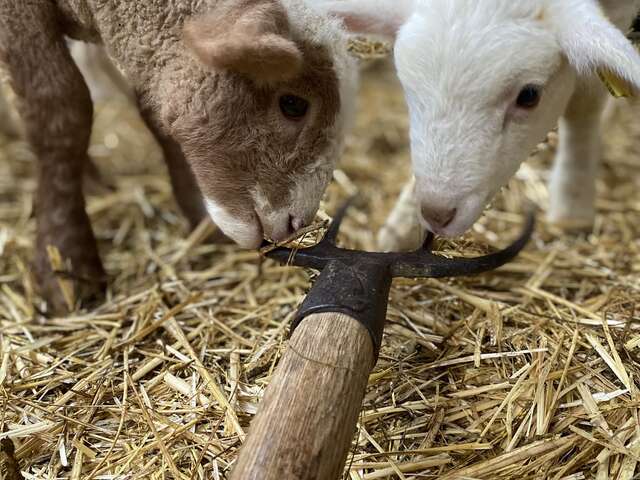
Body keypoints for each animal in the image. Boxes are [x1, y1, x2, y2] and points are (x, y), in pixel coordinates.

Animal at [0, 0, 356, 316]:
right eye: (293, 104)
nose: (297, 224)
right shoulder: (17, 13)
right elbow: (60, 106)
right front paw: (67, 264)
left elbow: (152, 109)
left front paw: (202, 222)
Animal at [318, 0, 640, 248]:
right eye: (407, 86)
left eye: (529, 95)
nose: (438, 215)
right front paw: (402, 229)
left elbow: (585, 101)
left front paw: (573, 205)